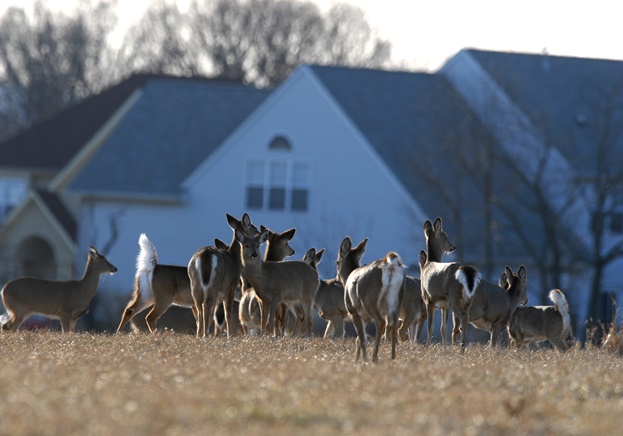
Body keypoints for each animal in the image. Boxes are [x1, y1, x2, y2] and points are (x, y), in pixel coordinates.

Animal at [420, 218, 482, 348]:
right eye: (445, 236)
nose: (453, 247)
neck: (429, 263)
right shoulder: (442, 304)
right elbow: (442, 328)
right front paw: (444, 349)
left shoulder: (429, 299)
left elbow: (430, 328)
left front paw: (427, 348)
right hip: (465, 299)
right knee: (465, 317)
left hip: (454, 297)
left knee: (464, 316)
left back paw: (462, 345)